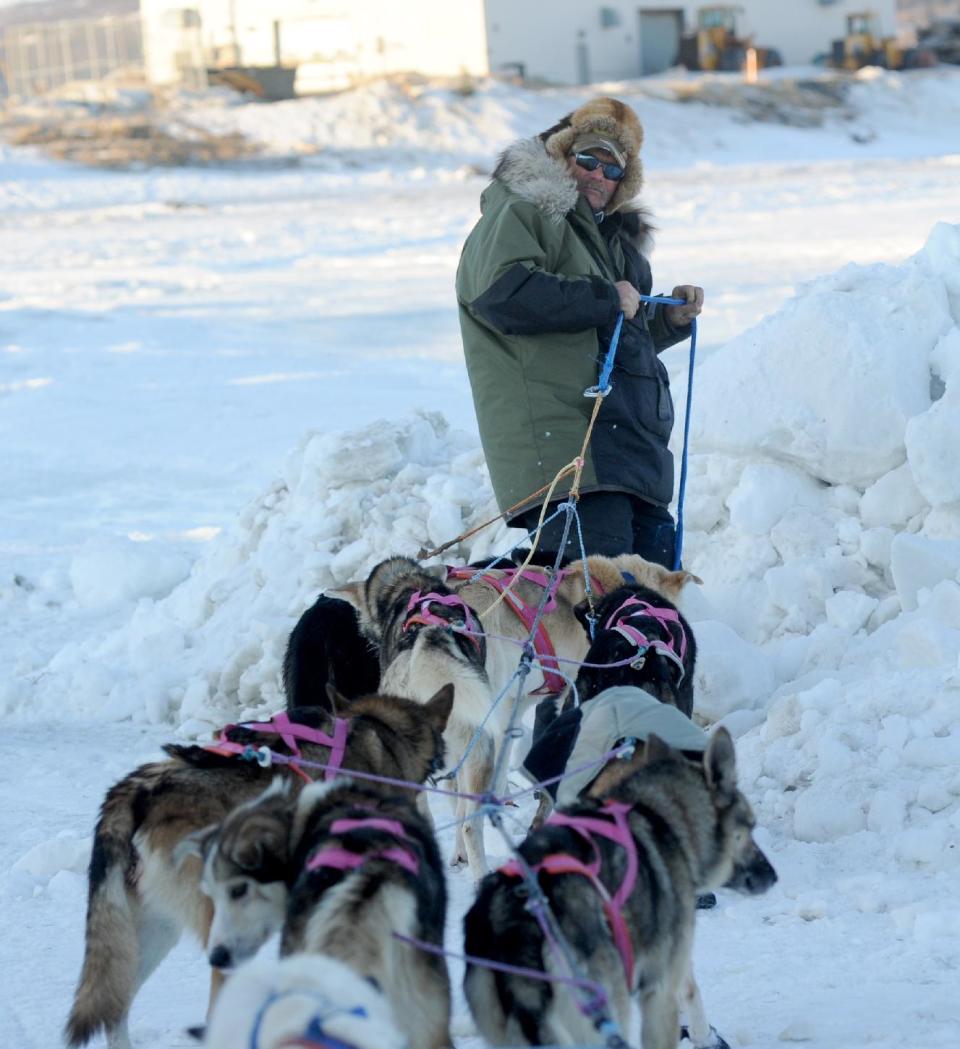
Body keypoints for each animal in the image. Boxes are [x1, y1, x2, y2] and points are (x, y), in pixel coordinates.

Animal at [461, 730, 776, 1049]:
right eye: (750, 826)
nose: (772, 875)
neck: (662, 818)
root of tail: (518, 922)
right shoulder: (661, 984)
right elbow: (687, 991)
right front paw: (704, 1035)